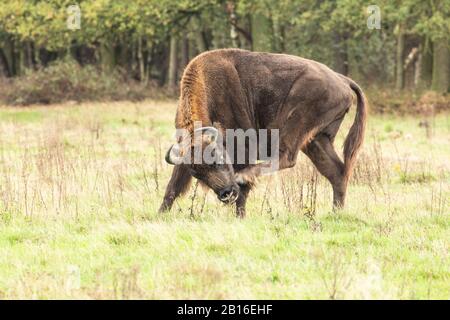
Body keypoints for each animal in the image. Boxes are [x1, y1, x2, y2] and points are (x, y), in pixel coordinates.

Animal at [158, 48, 366, 218]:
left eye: (217, 159)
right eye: (197, 174)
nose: (226, 194)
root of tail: (341, 79)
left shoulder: (243, 147)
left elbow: (243, 191)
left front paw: (240, 215)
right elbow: (172, 187)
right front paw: (160, 214)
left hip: (295, 121)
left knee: (287, 157)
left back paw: (243, 176)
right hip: (317, 139)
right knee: (336, 171)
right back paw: (336, 212)